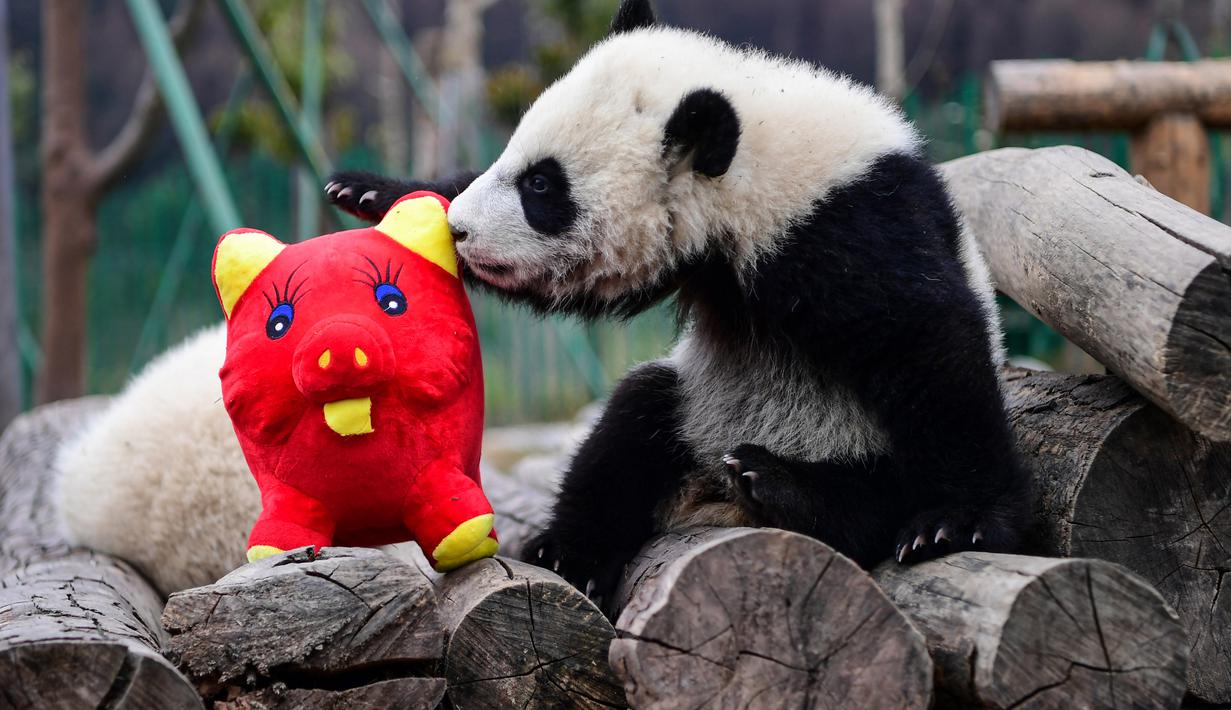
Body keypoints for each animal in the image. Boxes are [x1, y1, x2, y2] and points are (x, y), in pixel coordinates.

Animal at [325, 0, 1030, 606]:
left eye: (542, 186)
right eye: (513, 158)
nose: (461, 231)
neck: (756, 154)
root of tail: (708, 489)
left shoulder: (847, 219)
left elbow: (923, 339)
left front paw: (960, 520)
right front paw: (375, 194)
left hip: (844, 435)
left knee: (868, 502)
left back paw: (781, 486)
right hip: (697, 406)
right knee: (631, 426)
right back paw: (572, 551)